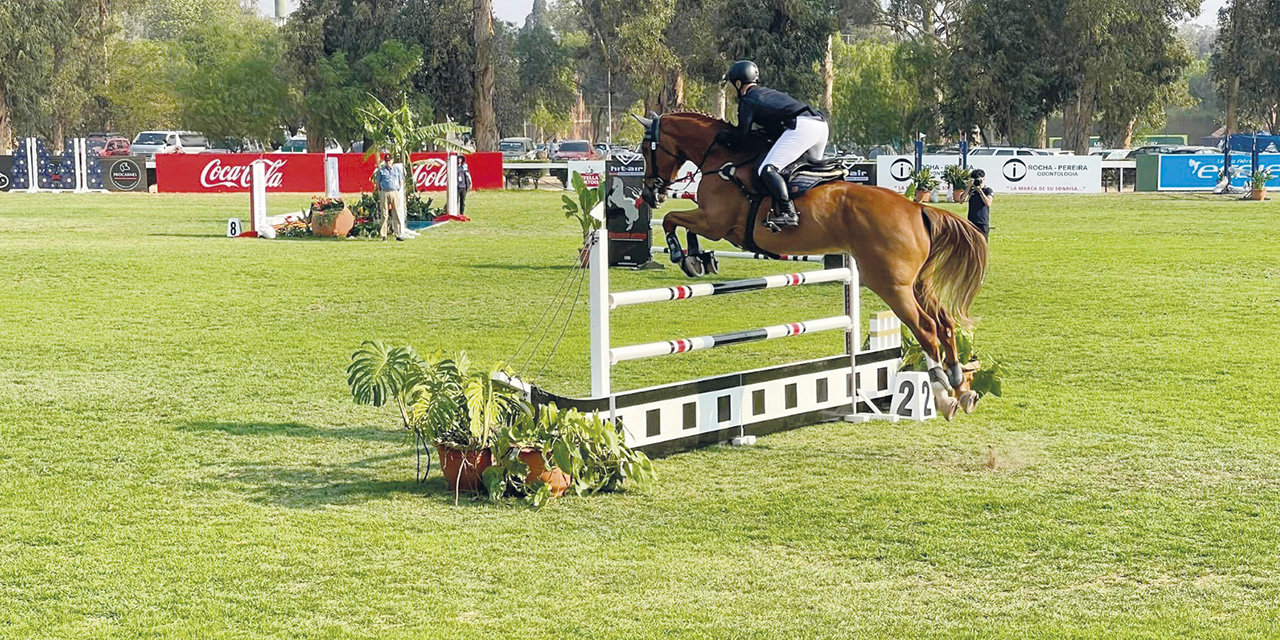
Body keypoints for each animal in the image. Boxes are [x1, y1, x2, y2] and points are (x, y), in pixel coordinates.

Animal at [640, 111, 988, 419]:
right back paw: (961, 387)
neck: (724, 161)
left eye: (645, 150)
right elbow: (685, 227)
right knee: (944, 323)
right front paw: (699, 260)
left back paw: (942, 393)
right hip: (916, 283)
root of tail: (916, 209)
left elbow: (673, 221)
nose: (651, 193)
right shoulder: (713, 224)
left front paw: (681, 255)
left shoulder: (715, 222)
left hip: (890, 284)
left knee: (926, 329)